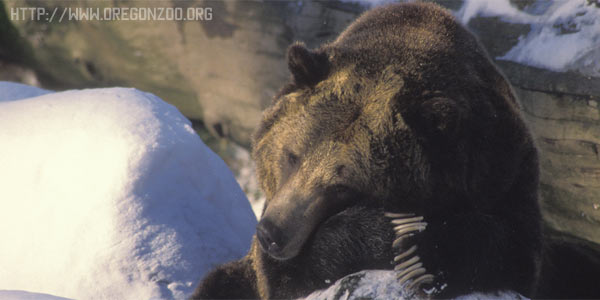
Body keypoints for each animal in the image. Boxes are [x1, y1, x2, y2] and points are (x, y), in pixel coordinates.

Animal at [193, 1, 544, 298]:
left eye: (342, 187)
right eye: (291, 156)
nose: (271, 233)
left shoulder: (501, 166)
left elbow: (509, 244)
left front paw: (414, 249)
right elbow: (278, 275)